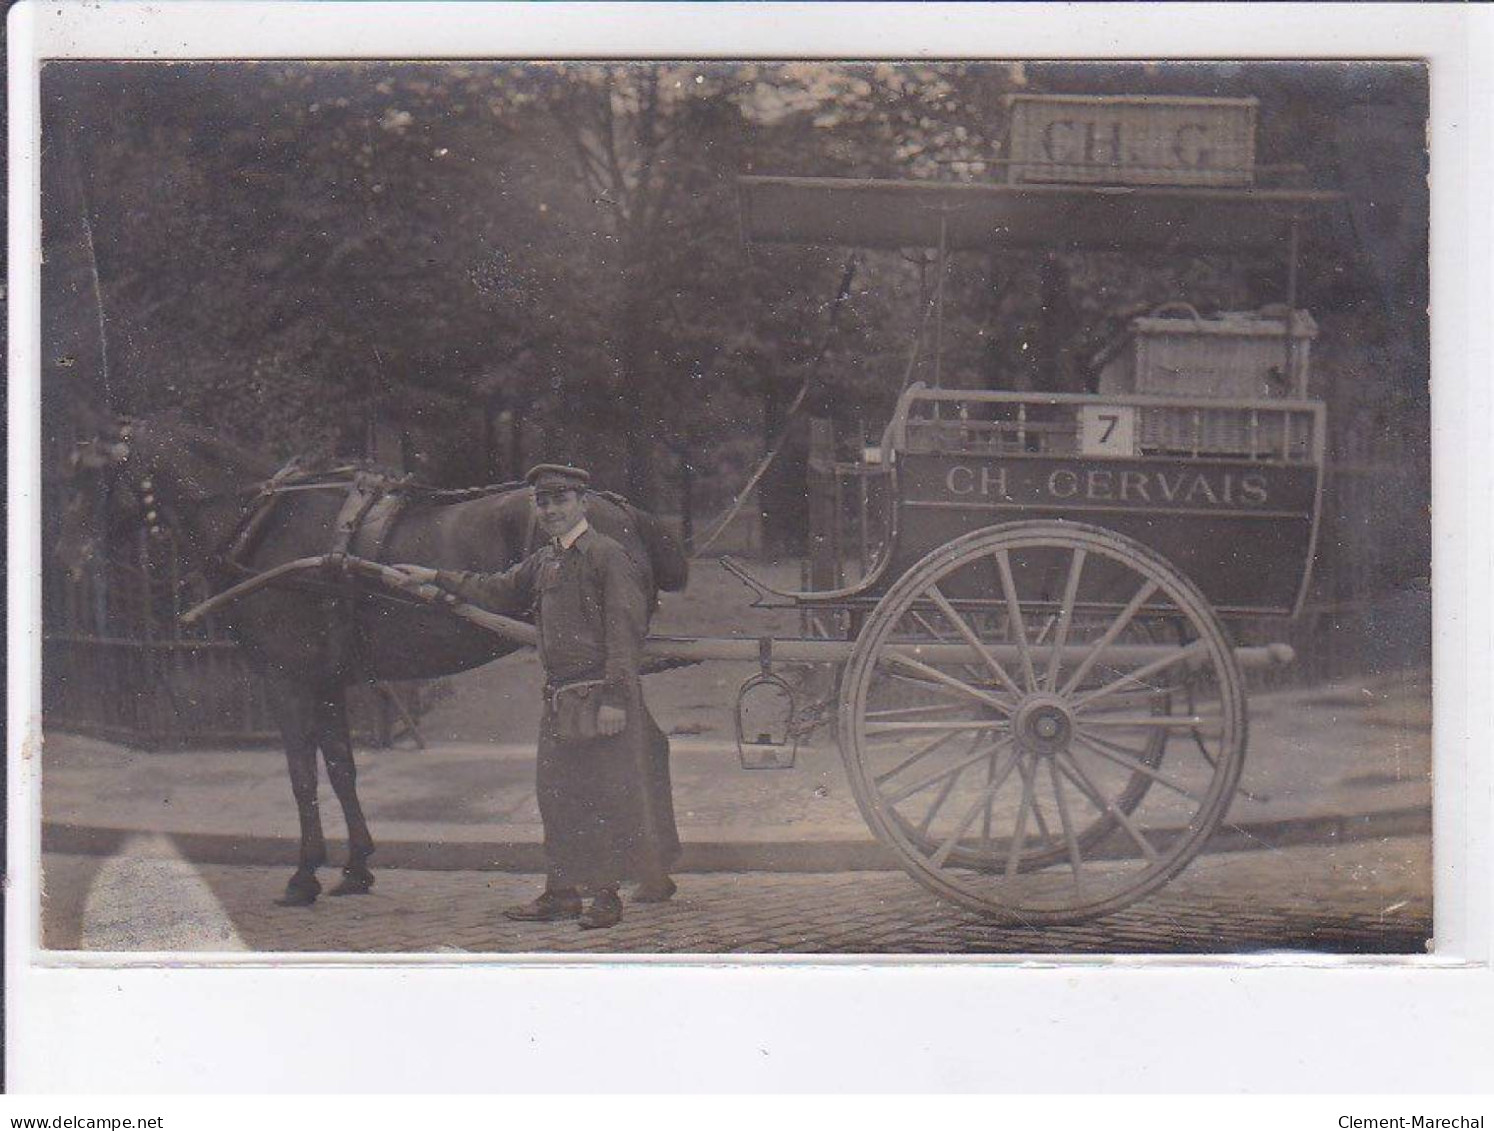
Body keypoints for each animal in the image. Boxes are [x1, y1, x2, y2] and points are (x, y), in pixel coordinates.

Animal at [56, 409, 687, 902]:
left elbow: (301, 774)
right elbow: (341, 768)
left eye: (93, 475)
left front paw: (304, 874)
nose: (67, 558)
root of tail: (621, 508)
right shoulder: (328, 681)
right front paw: (357, 865)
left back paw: (647, 871)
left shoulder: (287, 679)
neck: (262, 524)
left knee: (638, 743)